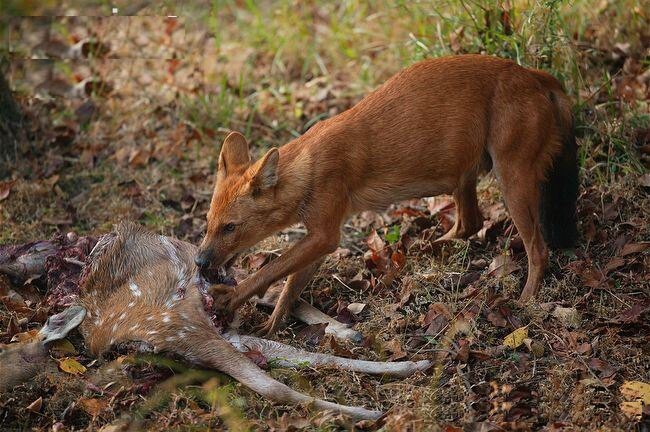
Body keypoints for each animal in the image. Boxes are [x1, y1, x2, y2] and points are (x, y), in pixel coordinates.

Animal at [196, 54, 576, 336]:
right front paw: (272, 325)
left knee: (537, 248)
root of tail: (534, 74)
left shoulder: (324, 234)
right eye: (207, 222)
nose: (199, 261)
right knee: (471, 222)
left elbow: (271, 269)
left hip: (511, 176)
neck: (305, 167)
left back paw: (526, 300)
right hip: (464, 173)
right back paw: (427, 247)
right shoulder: (320, 236)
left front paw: (230, 298)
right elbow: (290, 282)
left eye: (231, 227)